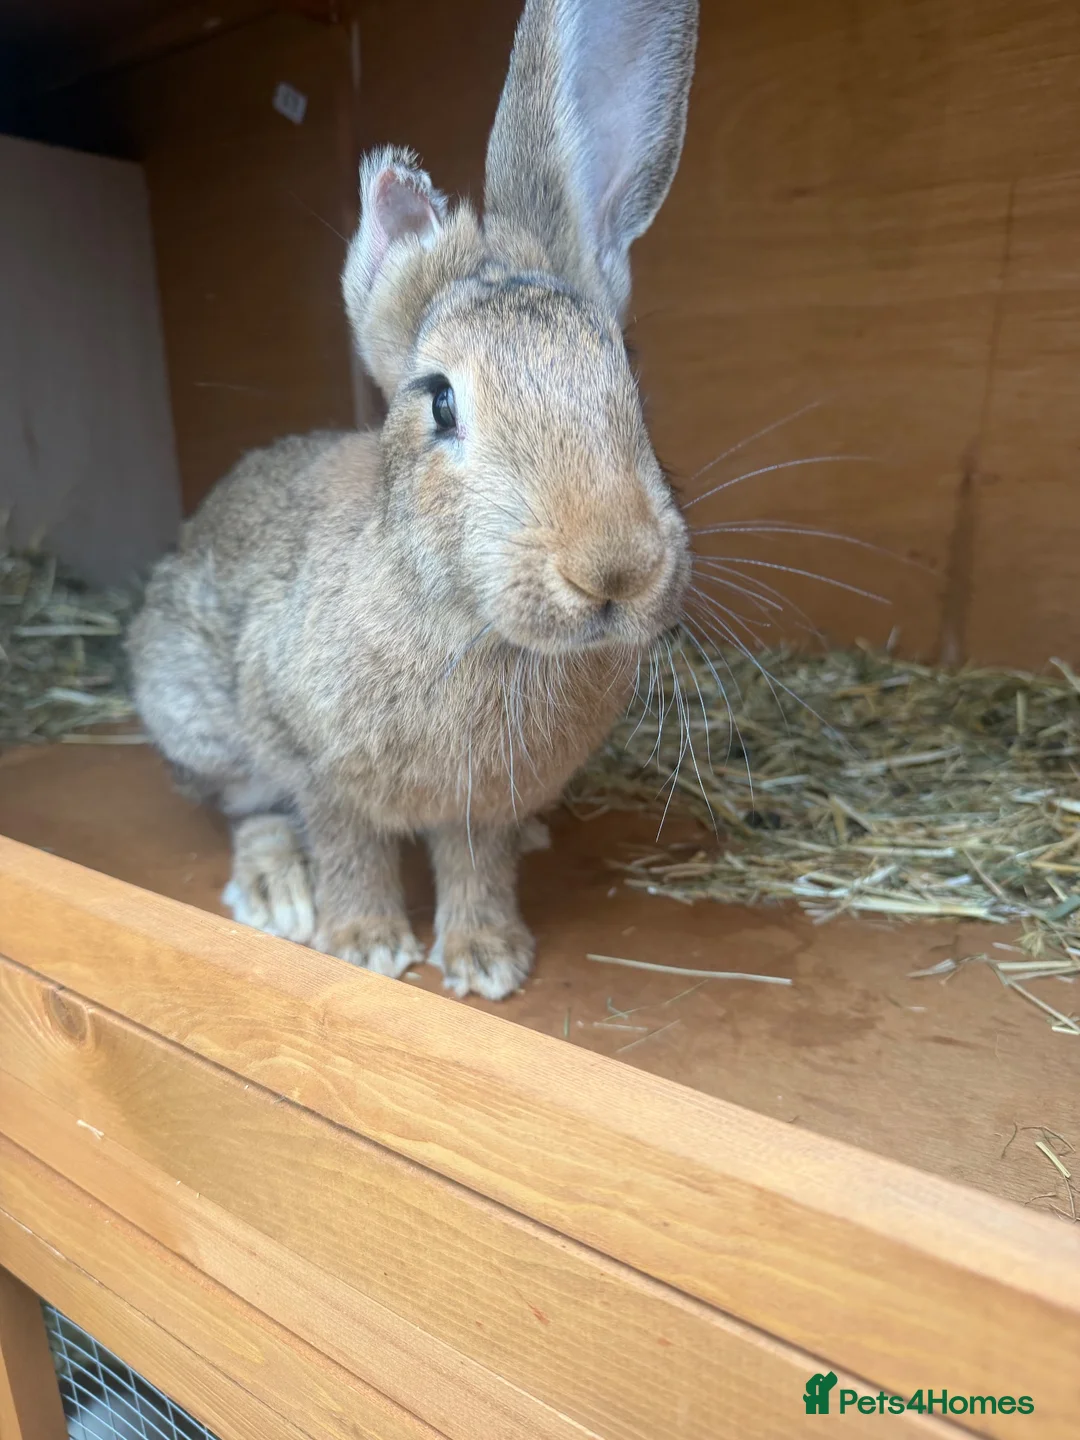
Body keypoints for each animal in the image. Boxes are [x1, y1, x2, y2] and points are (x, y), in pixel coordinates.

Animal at [128, 0, 699, 1001]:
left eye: (626, 372)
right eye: (441, 403)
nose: (616, 569)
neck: (471, 625)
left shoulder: (481, 799)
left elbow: (476, 861)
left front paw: (486, 958)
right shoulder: (315, 762)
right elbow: (347, 843)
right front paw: (365, 945)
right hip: (194, 711)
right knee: (244, 808)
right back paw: (278, 893)